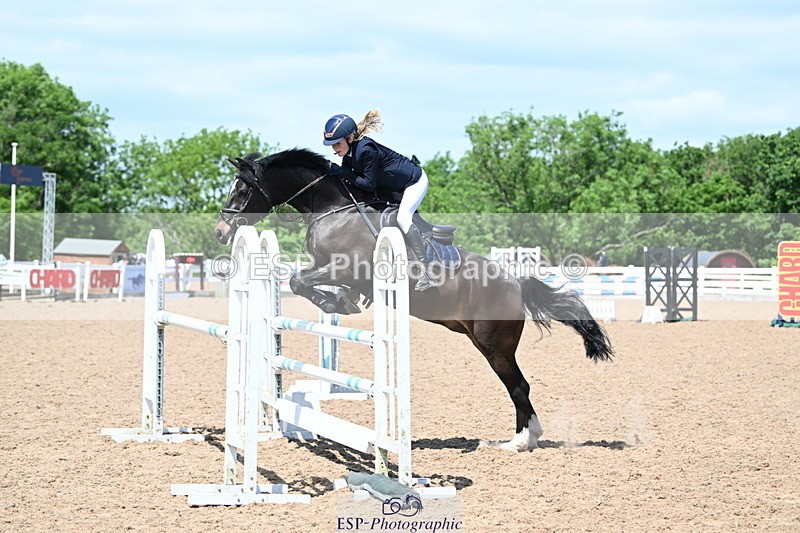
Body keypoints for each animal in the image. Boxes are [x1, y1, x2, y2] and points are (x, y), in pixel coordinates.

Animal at [215, 148, 613, 452]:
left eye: (242, 190)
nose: (220, 231)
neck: (333, 210)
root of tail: (515, 281)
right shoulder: (329, 267)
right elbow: (300, 280)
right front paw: (342, 302)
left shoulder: (348, 268)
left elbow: (299, 281)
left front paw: (336, 304)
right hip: (481, 340)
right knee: (517, 385)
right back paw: (525, 438)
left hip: (493, 343)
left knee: (518, 385)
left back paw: (519, 442)